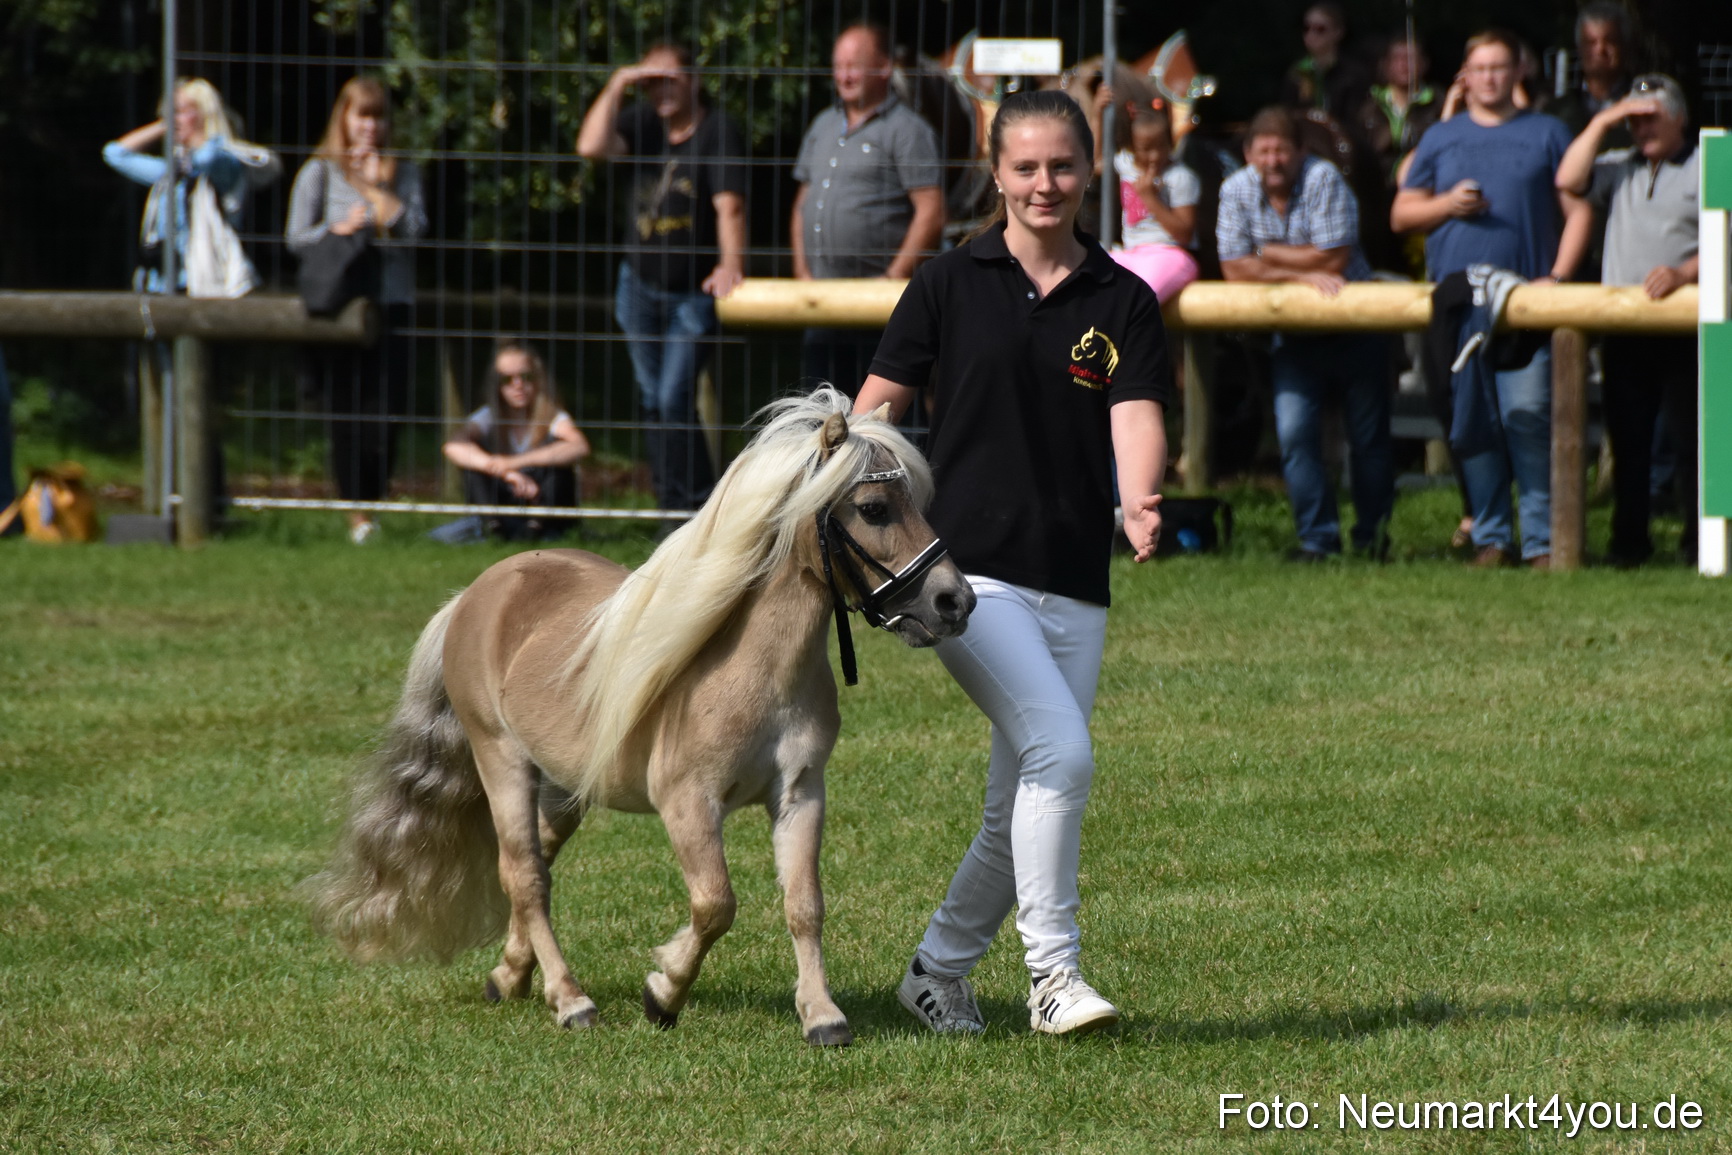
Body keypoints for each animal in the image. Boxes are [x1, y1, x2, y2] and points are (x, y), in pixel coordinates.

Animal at [307, 389, 976, 1047]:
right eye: (873, 508)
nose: (954, 601)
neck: (756, 674)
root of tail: (475, 595)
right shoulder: (688, 803)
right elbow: (715, 904)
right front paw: (663, 993)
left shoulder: (800, 794)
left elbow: (804, 905)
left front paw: (822, 1016)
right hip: (500, 761)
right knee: (523, 875)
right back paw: (570, 1000)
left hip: (565, 788)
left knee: (538, 867)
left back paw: (511, 975)